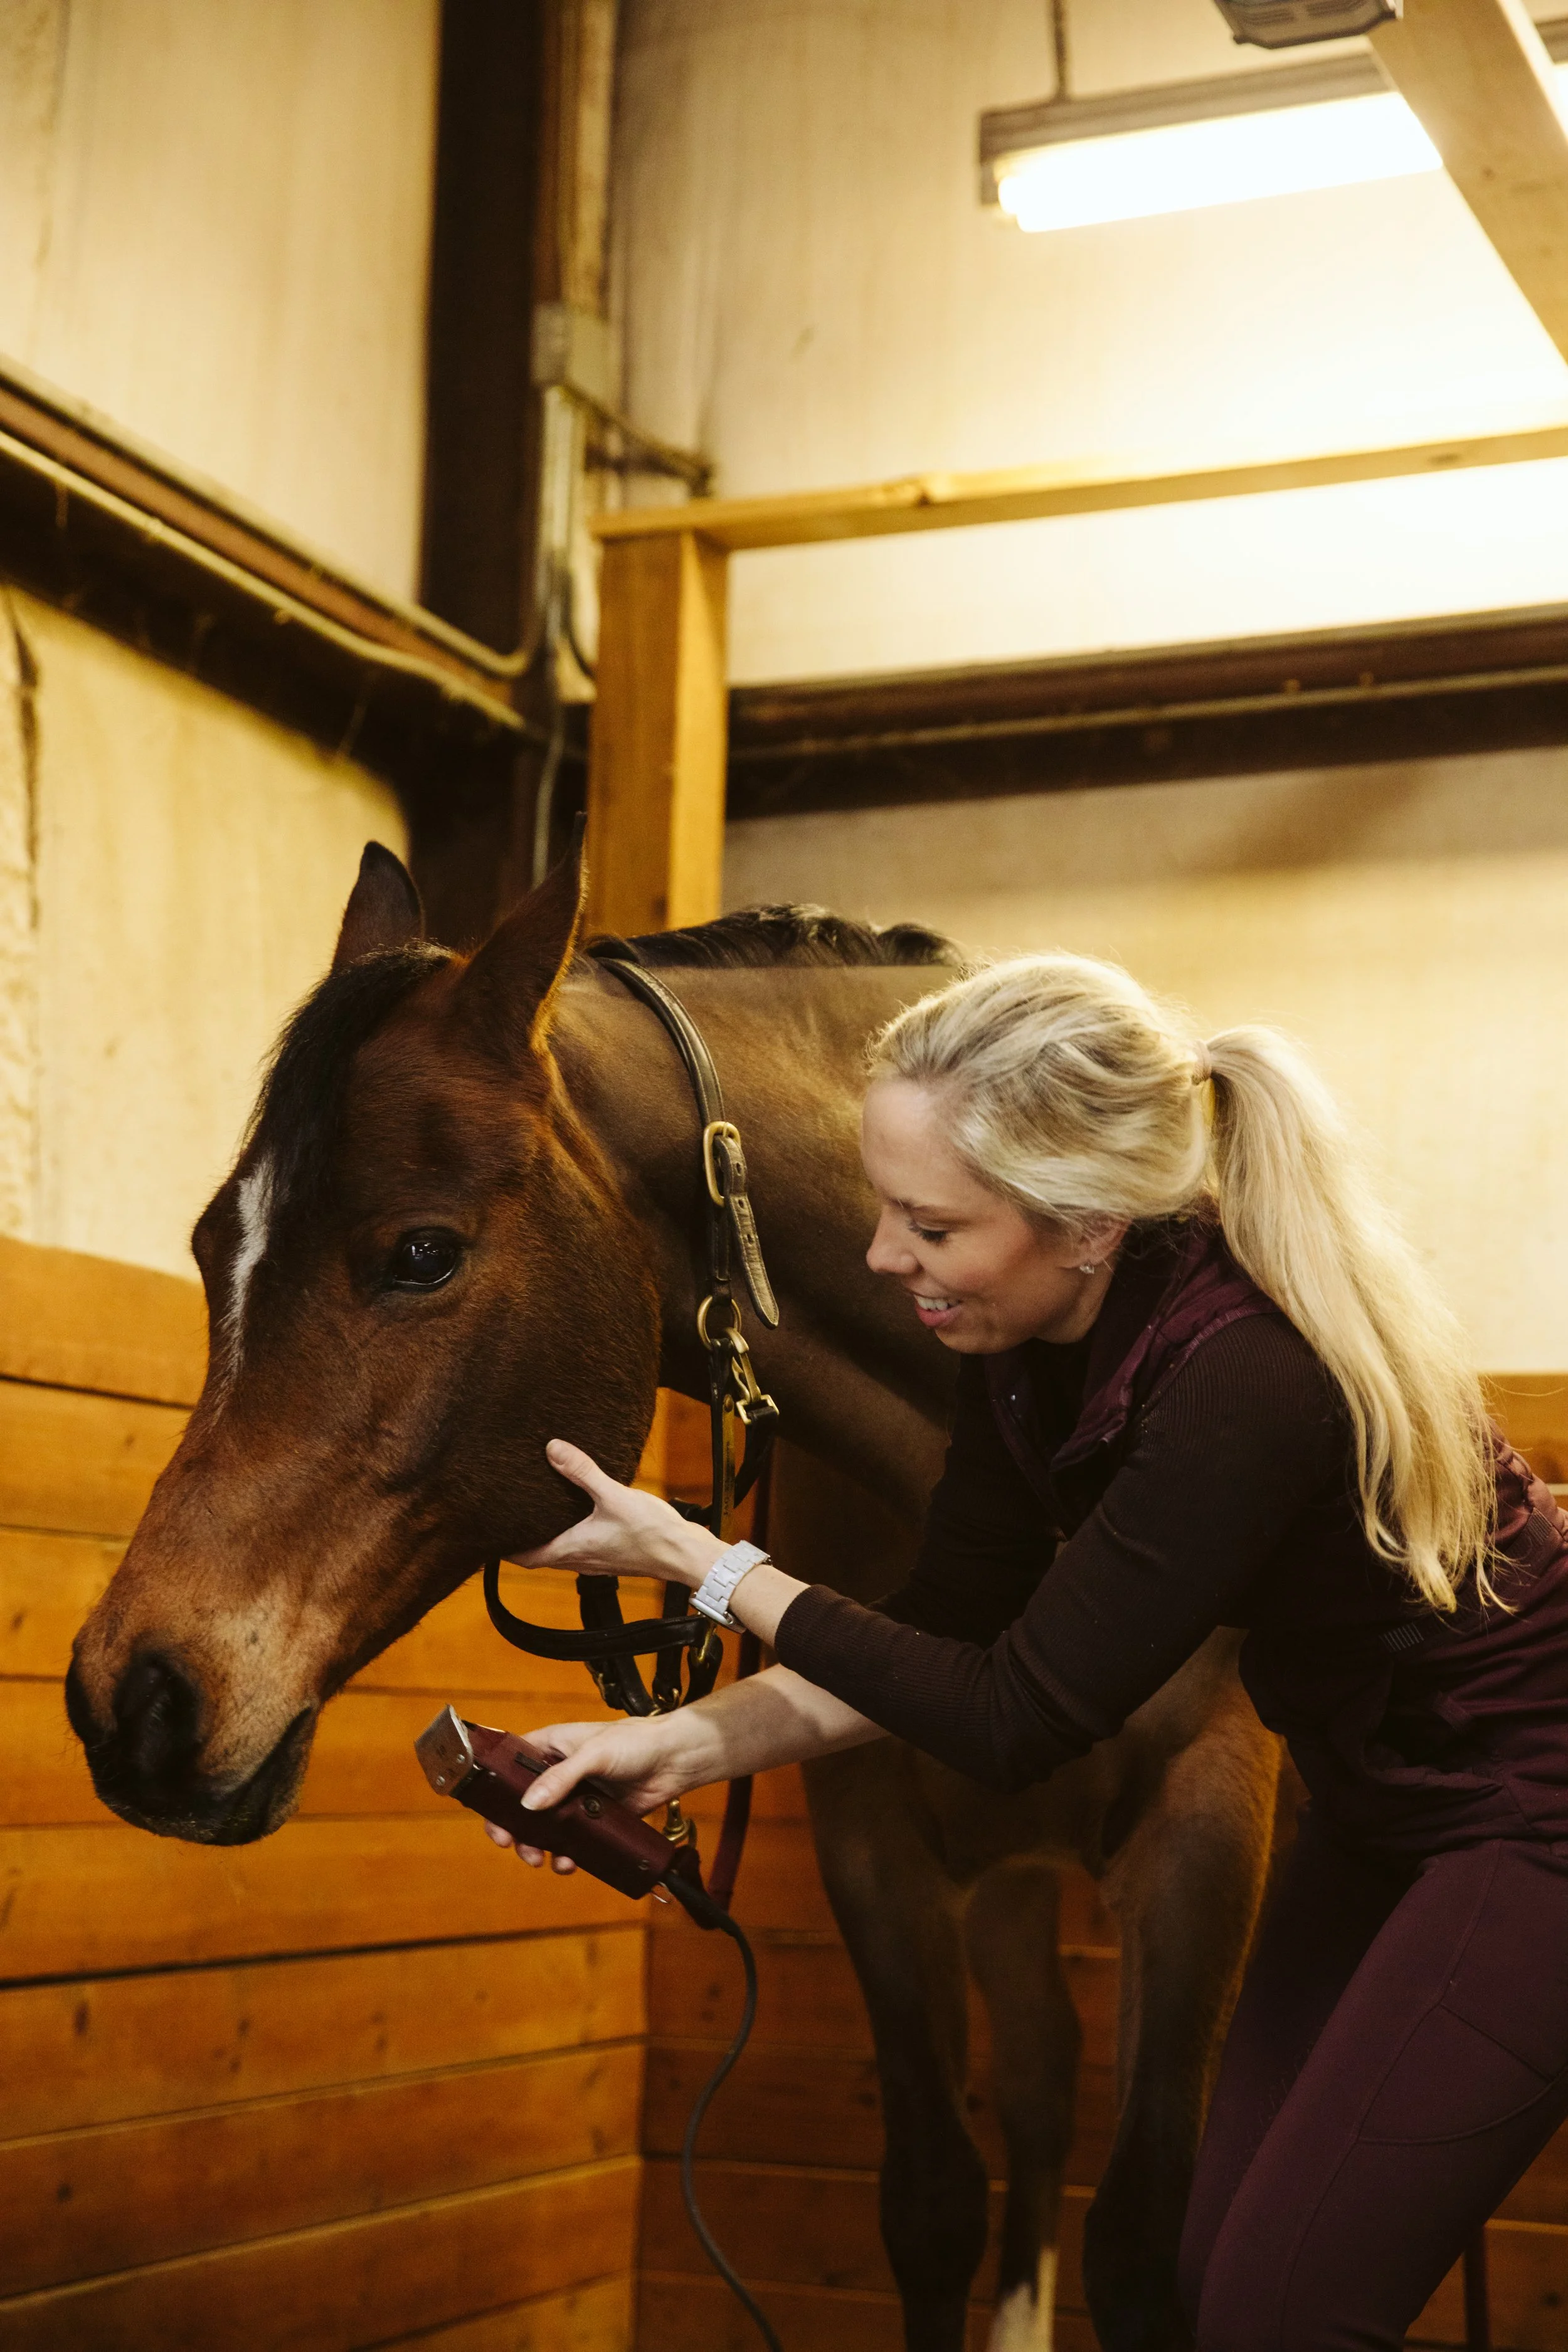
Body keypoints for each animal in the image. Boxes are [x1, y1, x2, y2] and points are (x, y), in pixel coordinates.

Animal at [66, 842, 1281, 2352]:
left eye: (421, 1253)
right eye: (202, 1246)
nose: (131, 1698)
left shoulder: (1206, 1822)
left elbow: (1138, 2239)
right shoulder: (877, 1840)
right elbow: (935, 2200)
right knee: (1043, 2087)